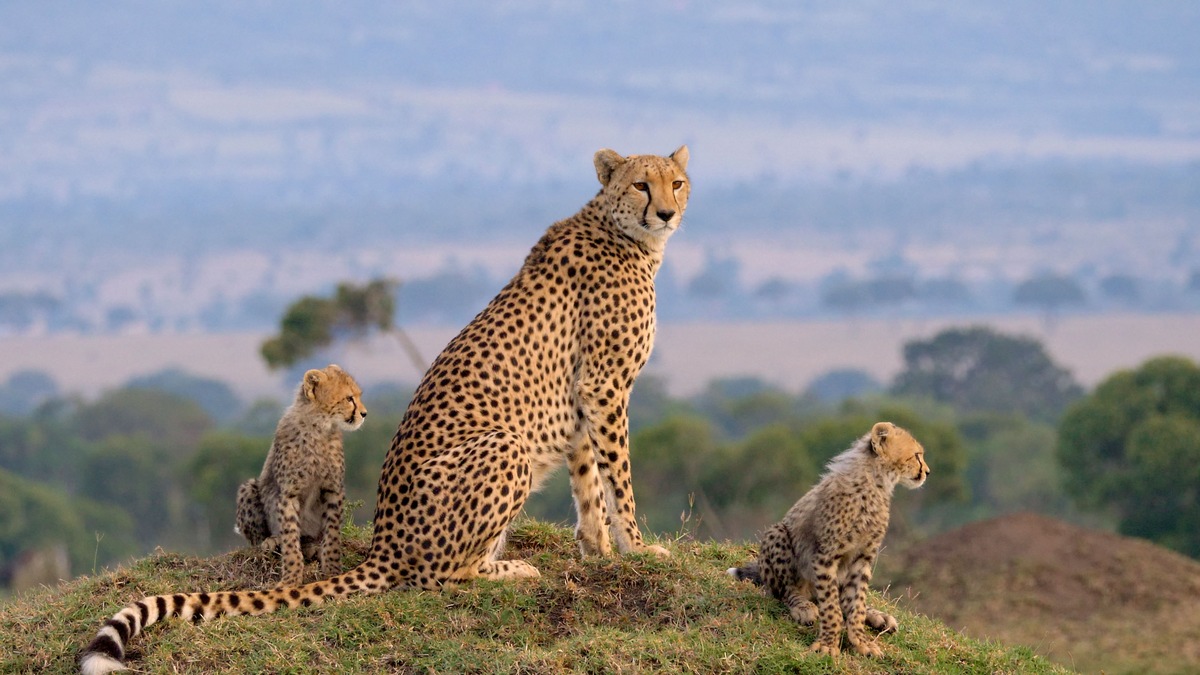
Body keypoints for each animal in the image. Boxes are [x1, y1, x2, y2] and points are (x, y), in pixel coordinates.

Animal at [79, 144, 691, 667]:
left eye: (677, 182)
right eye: (641, 184)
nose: (665, 213)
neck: (622, 232)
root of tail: (383, 543)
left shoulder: (585, 395)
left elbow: (589, 482)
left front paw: (600, 551)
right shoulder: (604, 386)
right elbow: (618, 478)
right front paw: (639, 549)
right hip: (504, 447)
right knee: (439, 576)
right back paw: (510, 569)